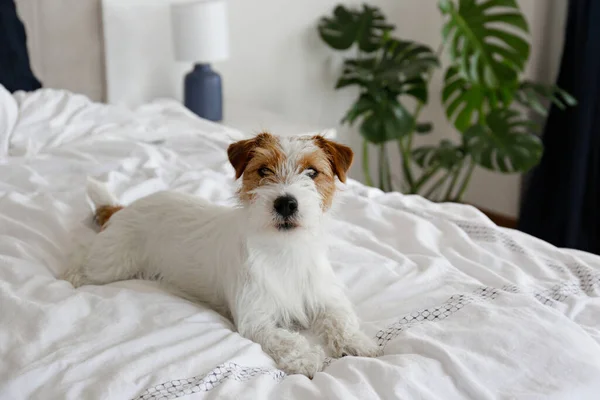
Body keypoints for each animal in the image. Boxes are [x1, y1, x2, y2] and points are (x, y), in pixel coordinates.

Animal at [62, 134, 380, 378]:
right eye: (263, 171)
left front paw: (358, 343)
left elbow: (341, 319)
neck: (284, 250)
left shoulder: (325, 297)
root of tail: (124, 207)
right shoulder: (256, 319)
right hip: (111, 266)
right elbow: (287, 340)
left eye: (312, 172)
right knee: (82, 270)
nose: (286, 203)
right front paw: (304, 359)